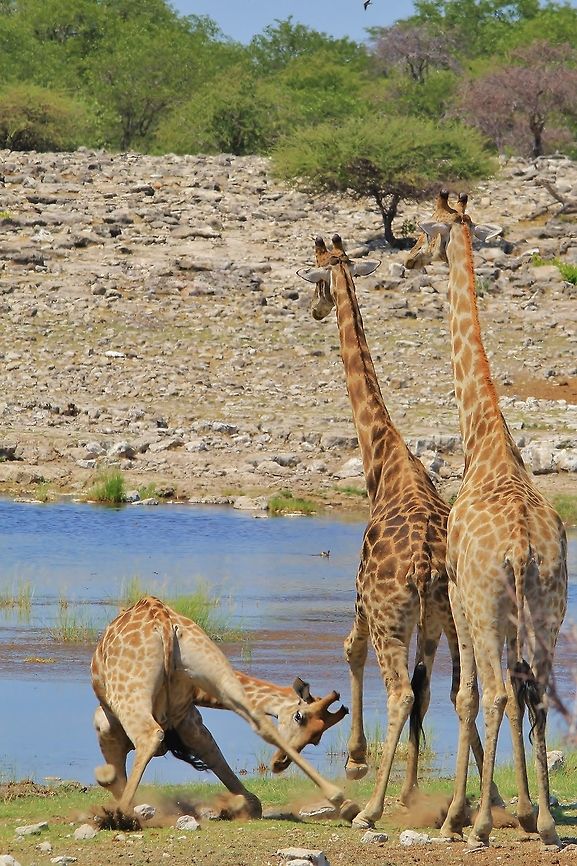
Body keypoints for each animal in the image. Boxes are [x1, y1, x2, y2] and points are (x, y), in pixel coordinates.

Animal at [91, 596, 356, 821]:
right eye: (300, 718)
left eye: (315, 737)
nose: (279, 763)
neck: (202, 696)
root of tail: (164, 624)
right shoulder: (188, 716)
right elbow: (213, 752)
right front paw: (245, 803)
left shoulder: (108, 720)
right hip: (216, 671)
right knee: (261, 723)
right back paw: (343, 802)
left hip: (129, 692)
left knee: (148, 735)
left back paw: (119, 814)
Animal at [297, 235, 496, 829]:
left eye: (316, 276)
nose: (313, 310)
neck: (383, 459)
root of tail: (428, 561)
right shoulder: (428, 622)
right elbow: (433, 691)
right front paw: (414, 792)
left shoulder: (364, 597)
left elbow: (350, 649)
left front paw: (358, 762)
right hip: (446, 616)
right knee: (448, 689)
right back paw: (478, 800)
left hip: (396, 619)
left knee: (403, 693)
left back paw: (371, 809)